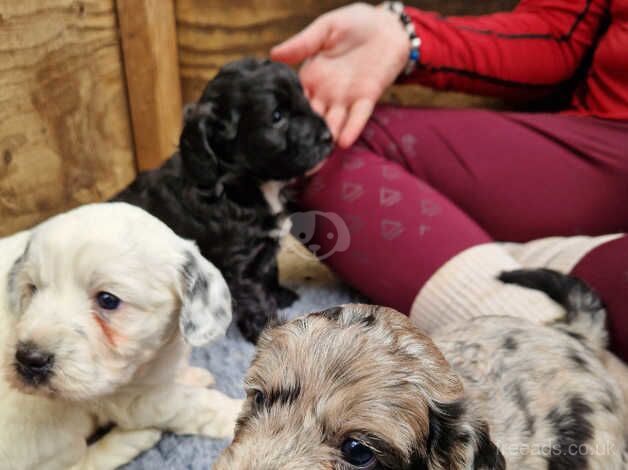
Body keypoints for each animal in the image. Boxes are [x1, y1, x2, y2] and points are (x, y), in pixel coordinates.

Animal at [0, 203, 242, 470]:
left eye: (108, 300)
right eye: (32, 289)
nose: (28, 359)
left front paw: (191, 375)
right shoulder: (133, 400)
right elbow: (192, 404)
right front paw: (237, 412)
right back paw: (134, 439)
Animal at [116, 57, 336, 342]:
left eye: (305, 99)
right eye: (277, 116)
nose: (329, 137)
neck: (242, 185)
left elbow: (269, 272)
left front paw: (281, 295)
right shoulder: (239, 263)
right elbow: (255, 296)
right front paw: (266, 328)